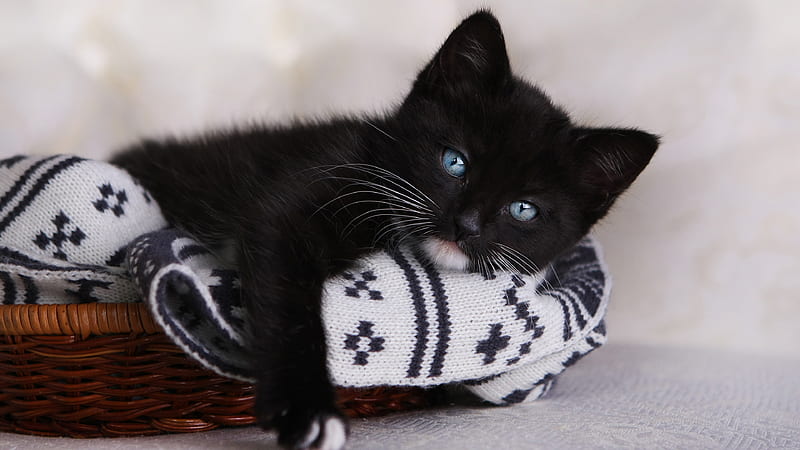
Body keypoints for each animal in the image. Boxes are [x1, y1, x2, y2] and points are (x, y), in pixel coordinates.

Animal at [115, 10, 660, 450]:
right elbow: (290, 305)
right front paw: (307, 412)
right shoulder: (290, 205)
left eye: (523, 209)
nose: (465, 225)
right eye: (454, 162)